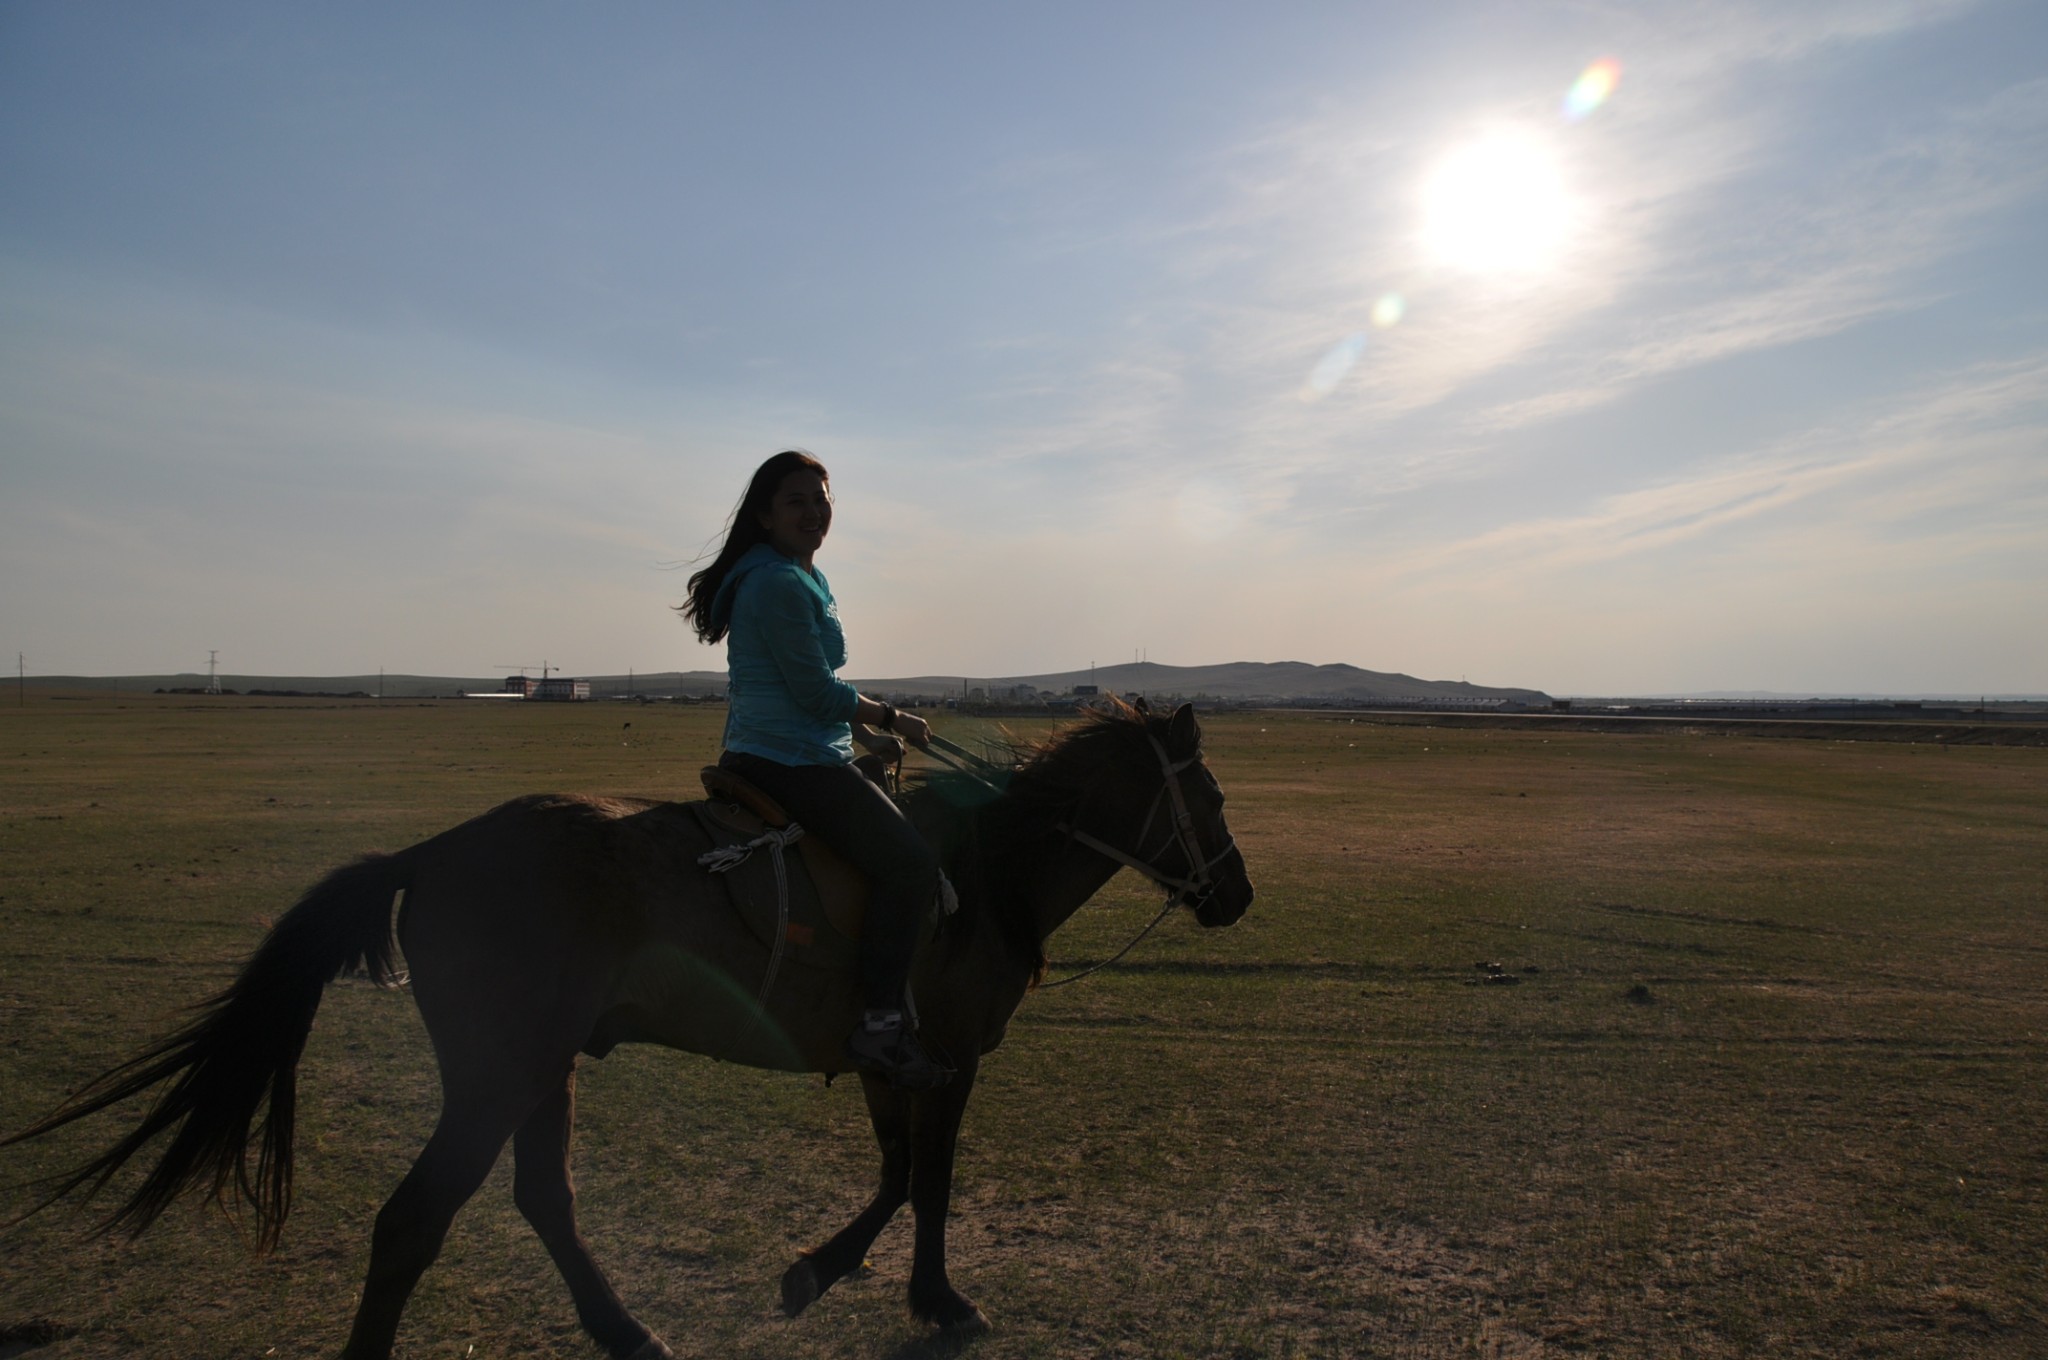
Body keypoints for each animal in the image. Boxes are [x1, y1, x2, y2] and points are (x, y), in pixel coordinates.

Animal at [4, 700, 1245, 1360]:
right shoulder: (948, 1055)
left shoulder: (892, 1058)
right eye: (1213, 798)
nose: (1234, 895)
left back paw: (627, 1329)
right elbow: (927, 1184)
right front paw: (931, 1298)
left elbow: (896, 1176)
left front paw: (814, 1270)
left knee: (539, 1198)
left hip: (541, 1065)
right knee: (412, 1221)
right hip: (496, 1071)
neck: (985, 873)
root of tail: (431, 852)